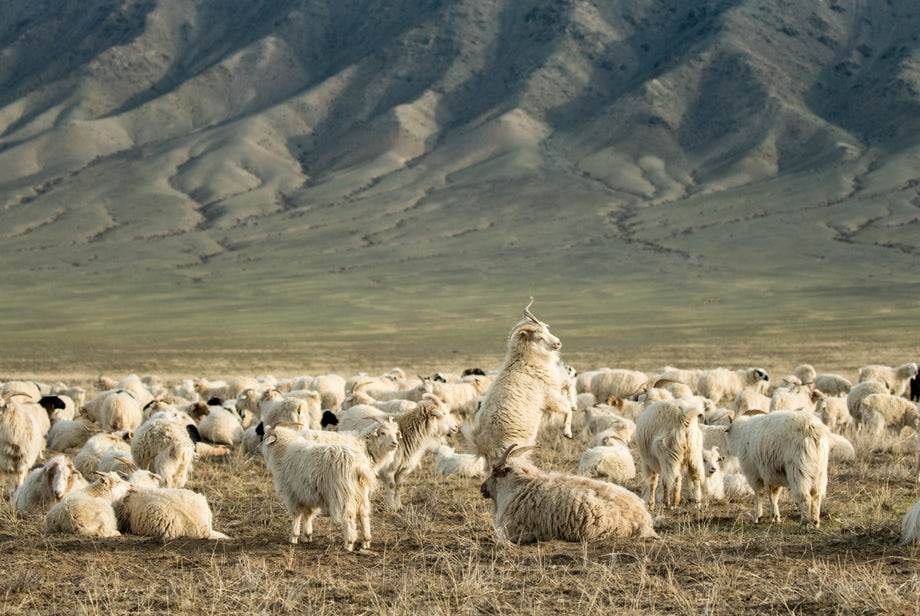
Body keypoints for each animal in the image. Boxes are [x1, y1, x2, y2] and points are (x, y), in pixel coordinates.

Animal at [468, 300, 576, 466]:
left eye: (547, 329)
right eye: (539, 337)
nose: (558, 343)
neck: (524, 361)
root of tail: (482, 447)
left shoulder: (554, 387)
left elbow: (568, 387)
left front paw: (574, 405)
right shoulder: (550, 397)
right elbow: (566, 409)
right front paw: (567, 433)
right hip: (514, 451)